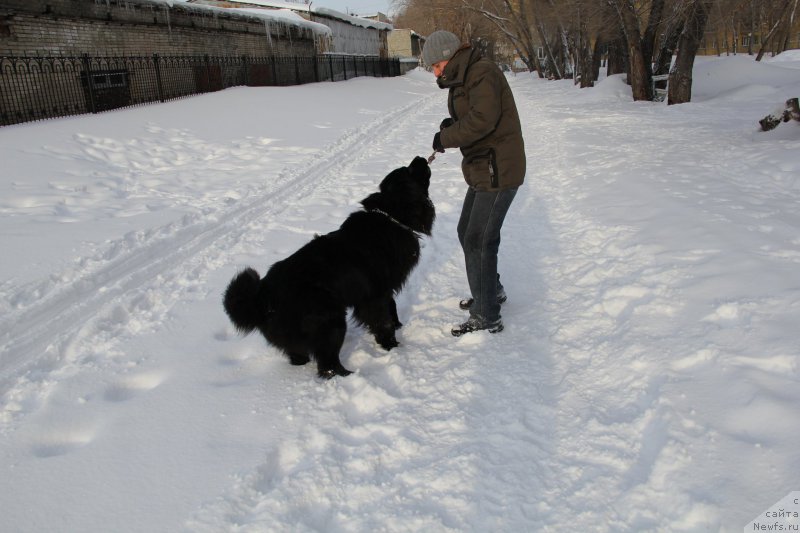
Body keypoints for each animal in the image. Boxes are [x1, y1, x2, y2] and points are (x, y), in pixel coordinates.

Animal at [223, 157, 438, 378]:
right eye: (410, 170)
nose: (421, 157)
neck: (390, 216)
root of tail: (261, 298)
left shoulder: (380, 290)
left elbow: (391, 307)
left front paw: (398, 326)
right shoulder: (376, 294)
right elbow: (383, 319)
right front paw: (391, 345)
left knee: (298, 355)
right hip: (330, 321)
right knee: (327, 364)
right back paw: (348, 375)